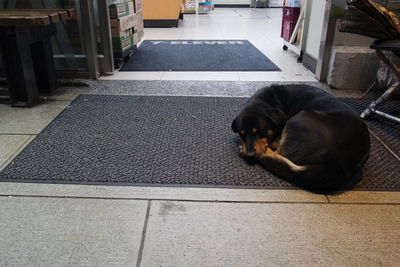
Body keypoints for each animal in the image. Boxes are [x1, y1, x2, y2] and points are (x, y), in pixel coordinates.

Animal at [233, 85, 370, 194]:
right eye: (242, 134)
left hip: (299, 118)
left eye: (260, 131)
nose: (250, 155)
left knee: (279, 153)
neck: (271, 100)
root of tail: (338, 165)